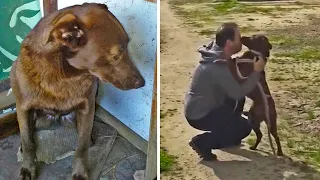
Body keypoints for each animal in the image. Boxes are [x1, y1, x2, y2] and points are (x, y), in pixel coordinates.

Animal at [10, 3, 145, 180]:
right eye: (116, 56)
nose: (142, 83)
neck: (63, 75)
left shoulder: (87, 109)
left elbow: (82, 146)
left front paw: (80, 173)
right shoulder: (23, 108)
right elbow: (27, 142)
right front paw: (27, 168)